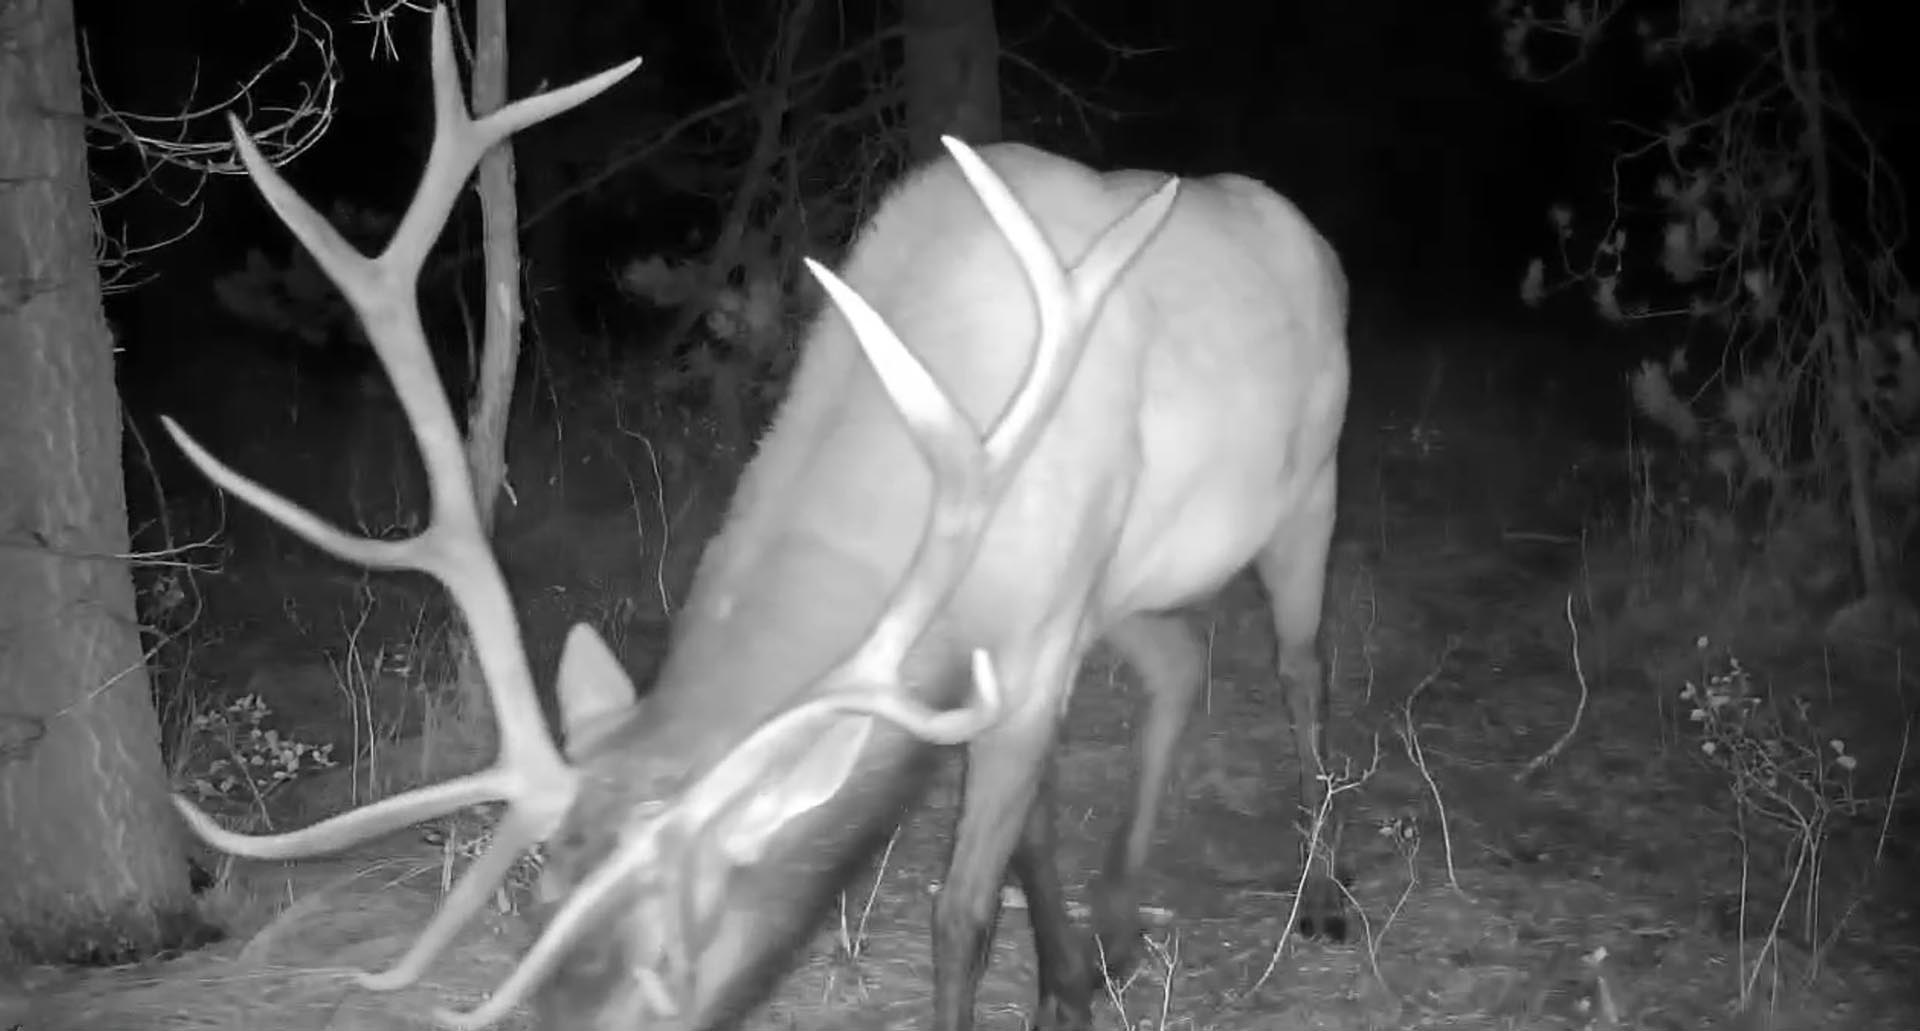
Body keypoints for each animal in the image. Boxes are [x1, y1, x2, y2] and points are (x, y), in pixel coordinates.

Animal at [165, 8, 1352, 1031]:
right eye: (537, 924)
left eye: (668, 968)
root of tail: (1309, 234)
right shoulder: (1021, 643)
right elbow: (1030, 837)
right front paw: (1066, 978)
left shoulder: (1041, 632)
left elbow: (962, 912)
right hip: (1127, 579)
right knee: (1183, 662)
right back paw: (1116, 926)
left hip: (1308, 486)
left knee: (1299, 666)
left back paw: (1324, 894)